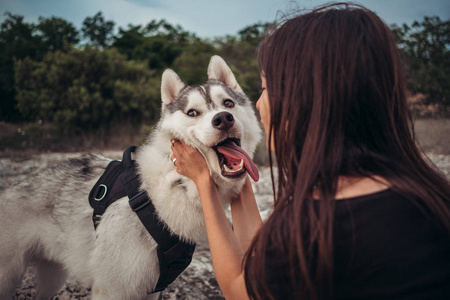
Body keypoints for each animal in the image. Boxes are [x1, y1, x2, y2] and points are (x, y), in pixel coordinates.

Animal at [0, 56, 262, 300]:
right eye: (192, 113)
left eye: (228, 103)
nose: (223, 118)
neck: (176, 183)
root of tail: (9, 189)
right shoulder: (113, 289)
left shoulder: (152, 288)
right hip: (10, 278)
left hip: (52, 277)